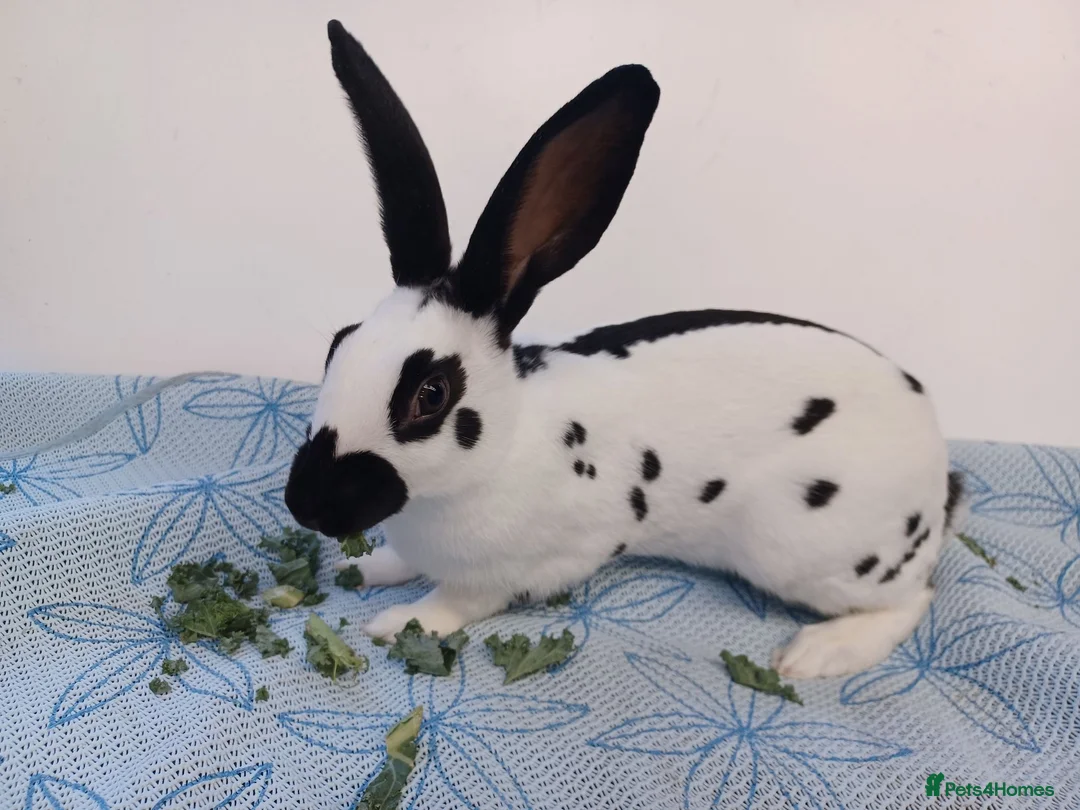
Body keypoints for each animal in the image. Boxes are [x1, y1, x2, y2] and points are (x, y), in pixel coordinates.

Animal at [284, 19, 963, 679]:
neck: (502, 448)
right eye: (339, 343)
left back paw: (815, 654)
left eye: (431, 394)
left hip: (808, 548)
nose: (304, 505)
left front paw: (398, 622)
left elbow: (456, 603)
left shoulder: (509, 572)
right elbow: (402, 562)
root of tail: (935, 464)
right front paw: (366, 569)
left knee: (913, 601)